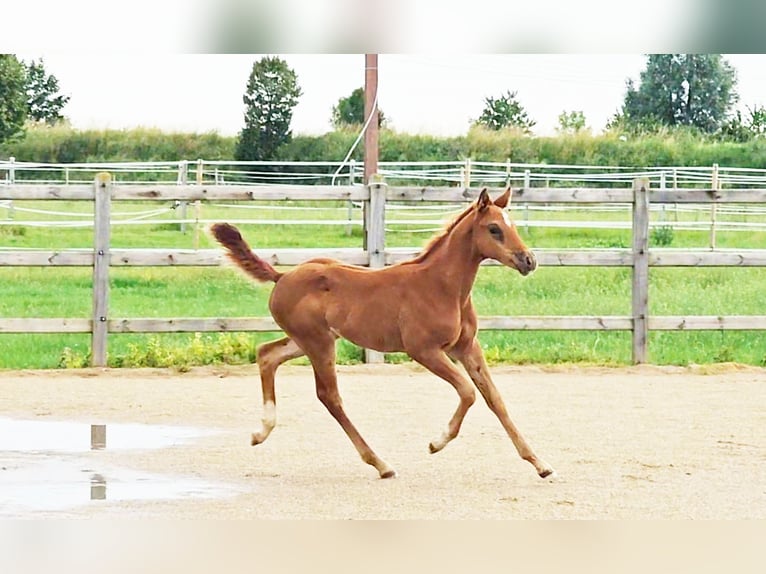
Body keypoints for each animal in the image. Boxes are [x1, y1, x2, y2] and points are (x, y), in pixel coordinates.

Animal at [213, 189, 556, 482]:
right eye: (494, 229)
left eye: (512, 225)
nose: (528, 260)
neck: (442, 287)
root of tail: (282, 276)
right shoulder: (424, 350)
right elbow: (468, 392)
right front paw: (437, 442)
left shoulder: (467, 347)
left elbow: (495, 399)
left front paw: (539, 463)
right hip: (318, 343)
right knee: (329, 396)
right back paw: (381, 464)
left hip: (307, 340)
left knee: (267, 355)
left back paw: (261, 432)